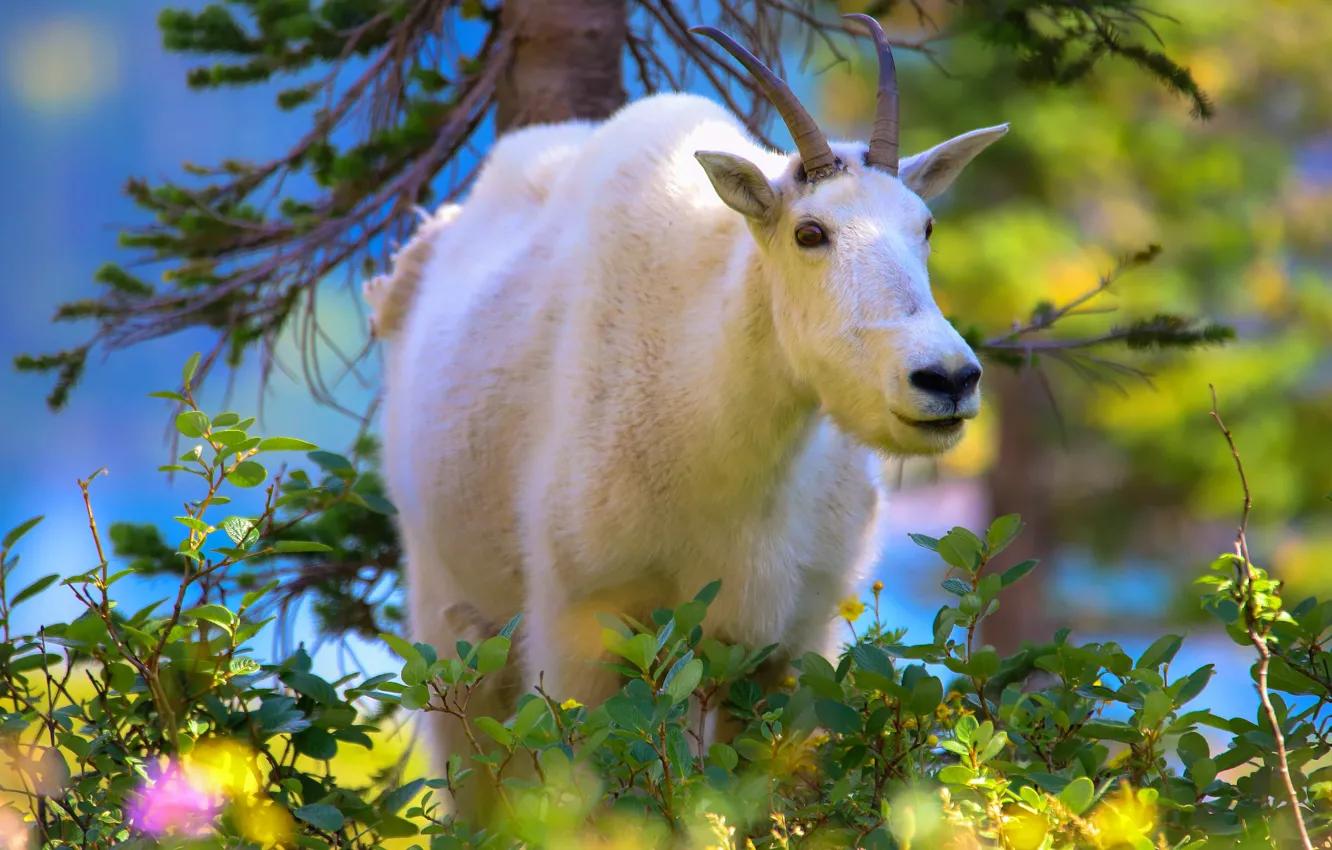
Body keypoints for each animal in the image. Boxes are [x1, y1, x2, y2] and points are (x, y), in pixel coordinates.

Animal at [365, 16, 1007, 821]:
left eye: (925, 227)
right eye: (810, 232)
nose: (946, 378)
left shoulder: (789, 642)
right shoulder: (583, 629)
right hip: (451, 621)